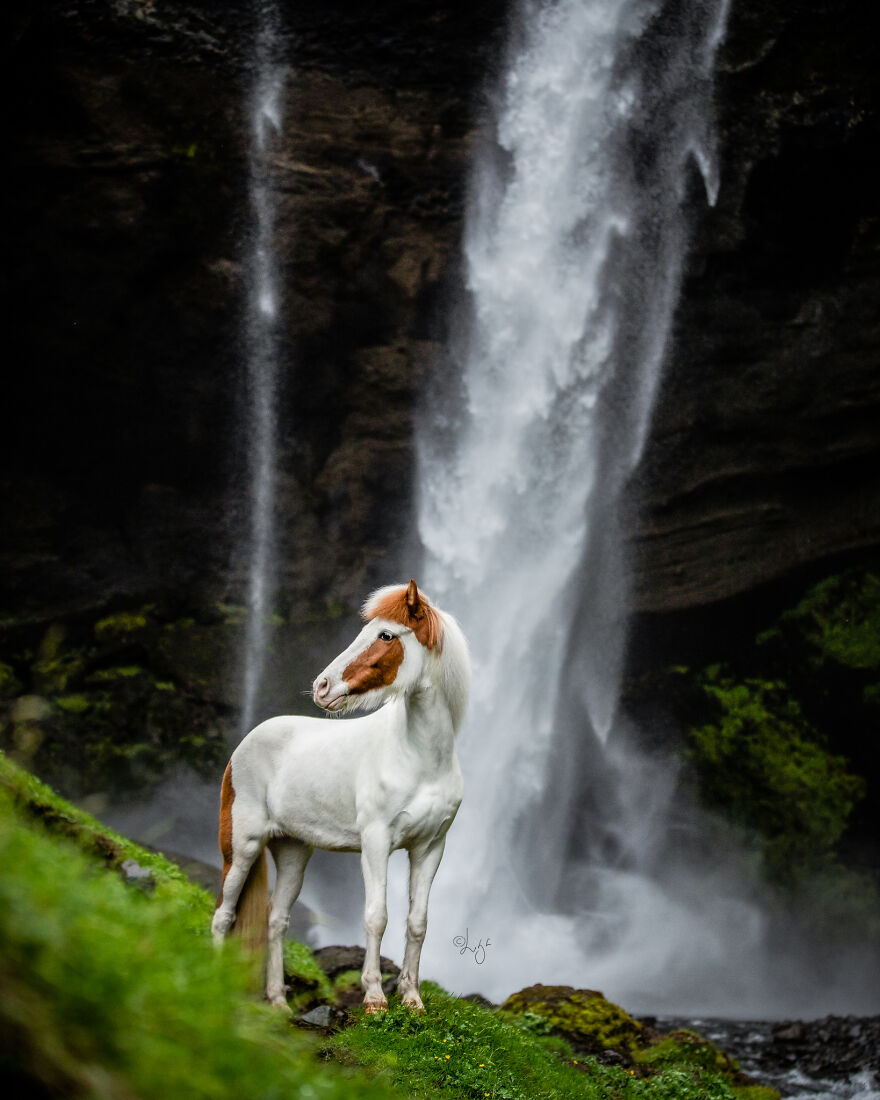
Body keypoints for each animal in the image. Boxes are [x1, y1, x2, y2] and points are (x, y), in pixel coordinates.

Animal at [211, 580, 470, 1012]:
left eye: (386, 635)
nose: (322, 686)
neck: (419, 760)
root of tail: (245, 743)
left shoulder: (431, 847)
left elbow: (417, 922)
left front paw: (412, 999)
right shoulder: (376, 842)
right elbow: (376, 916)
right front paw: (375, 998)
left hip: (293, 851)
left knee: (276, 919)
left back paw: (278, 1001)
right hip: (241, 847)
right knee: (223, 914)